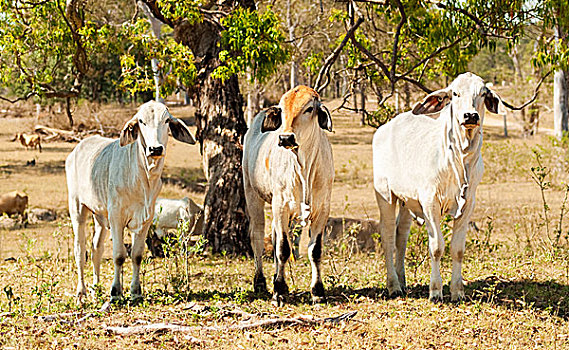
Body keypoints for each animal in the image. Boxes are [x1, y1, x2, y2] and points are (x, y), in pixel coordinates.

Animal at [241, 86, 332, 304]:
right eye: (282, 111)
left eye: (309, 109)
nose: (285, 138)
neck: (304, 166)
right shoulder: (280, 205)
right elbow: (283, 249)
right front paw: (279, 292)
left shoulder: (322, 210)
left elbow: (315, 251)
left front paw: (318, 292)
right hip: (252, 195)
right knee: (257, 237)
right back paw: (261, 282)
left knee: (274, 238)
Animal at [372, 72, 502, 302]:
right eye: (455, 93)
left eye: (482, 93)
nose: (470, 116)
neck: (459, 159)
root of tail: (384, 128)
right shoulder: (430, 202)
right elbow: (436, 247)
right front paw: (435, 290)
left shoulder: (468, 204)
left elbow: (457, 249)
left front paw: (457, 290)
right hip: (385, 195)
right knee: (387, 236)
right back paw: (393, 285)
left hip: (406, 201)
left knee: (400, 235)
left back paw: (402, 280)